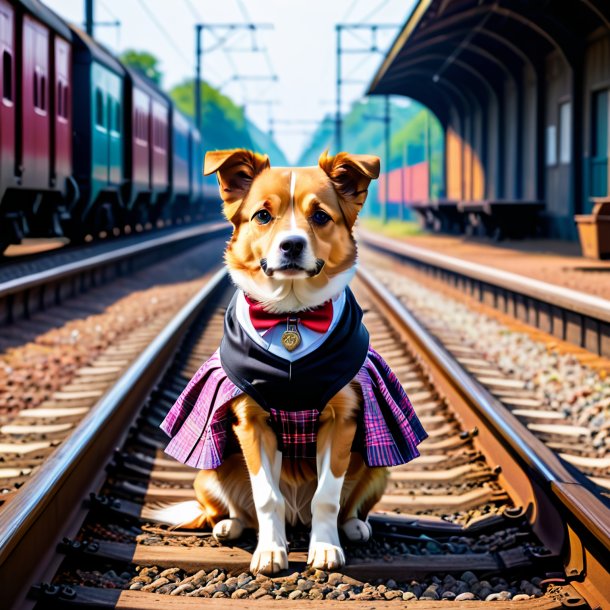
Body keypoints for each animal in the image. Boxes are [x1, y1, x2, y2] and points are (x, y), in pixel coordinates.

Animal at [154, 150, 426, 572]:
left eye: (321, 216)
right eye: (263, 215)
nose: (292, 245)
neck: (292, 316)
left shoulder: (343, 418)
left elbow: (327, 497)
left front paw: (325, 549)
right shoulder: (252, 421)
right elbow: (267, 497)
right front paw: (270, 552)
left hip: (379, 467)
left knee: (345, 507)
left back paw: (354, 527)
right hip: (206, 470)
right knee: (228, 510)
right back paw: (229, 526)